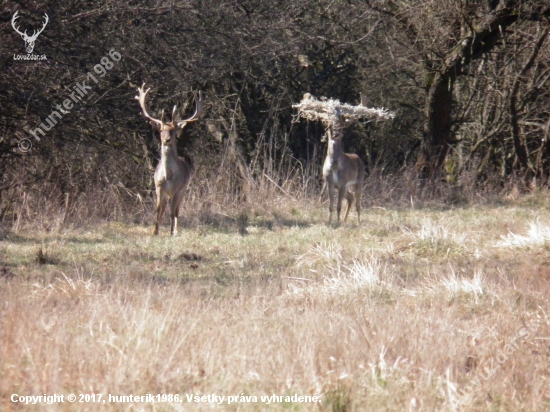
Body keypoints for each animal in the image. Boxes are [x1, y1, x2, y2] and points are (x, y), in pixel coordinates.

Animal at [136, 83, 205, 235]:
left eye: (173, 130)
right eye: (161, 130)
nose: (167, 140)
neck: (168, 176)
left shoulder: (178, 188)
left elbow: (173, 212)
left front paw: (172, 232)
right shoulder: (158, 187)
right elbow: (158, 209)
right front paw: (155, 231)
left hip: (184, 189)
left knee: (176, 210)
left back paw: (176, 230)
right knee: (164, 208)